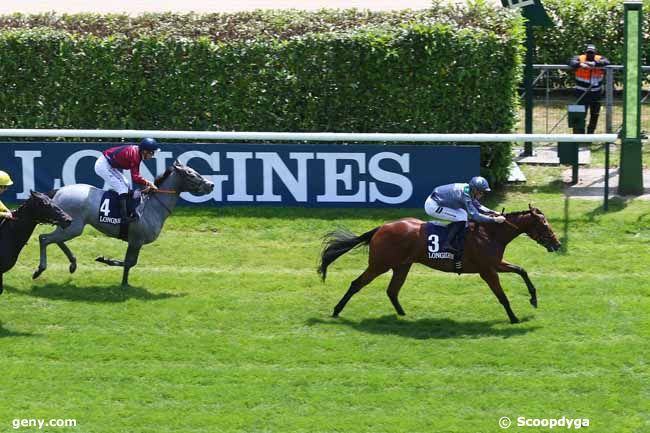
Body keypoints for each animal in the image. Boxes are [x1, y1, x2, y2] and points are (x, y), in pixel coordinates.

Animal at [33, 160, 214, 286]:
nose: (210, 184)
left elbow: (129, 263)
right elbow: (130, 262)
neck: (152, 206)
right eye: (191, 174)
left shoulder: (135, 241)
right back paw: (40, 269)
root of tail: (60, 191)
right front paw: (105, 260)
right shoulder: (136, 240)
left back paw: (73, 263)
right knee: (44, 238)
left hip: (69, 226)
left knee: (55, 239)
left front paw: (124, 282)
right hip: (74, 227)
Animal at [316, 204, 560, 322]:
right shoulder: (487, 270)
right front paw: (514, 318)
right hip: (379, 264)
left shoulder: (495, 264)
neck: (490, 233)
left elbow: (522, 270)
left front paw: (533, 299)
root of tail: (380, 228)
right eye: (544, 225)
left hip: (402, 265)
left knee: (392, 290)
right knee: (356, 284)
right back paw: (336, 311)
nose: (557, 244)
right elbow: (502, 296)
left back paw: (404, 315)